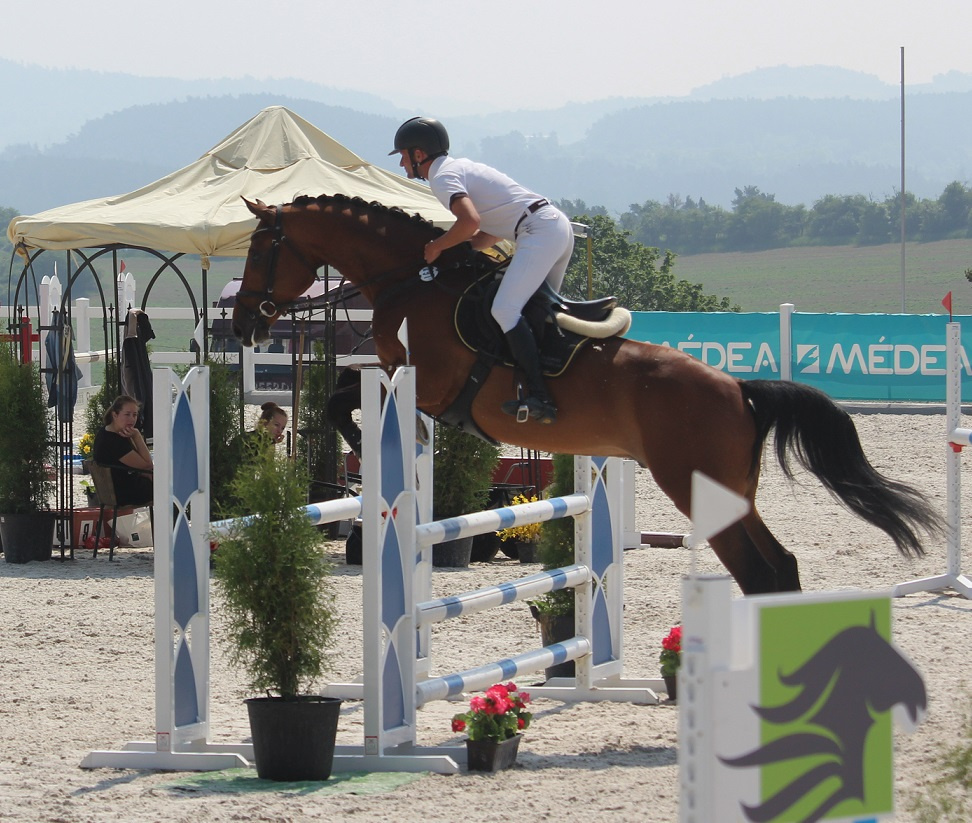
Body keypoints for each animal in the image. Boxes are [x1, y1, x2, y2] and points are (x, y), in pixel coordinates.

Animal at [232, 193, 941, 595]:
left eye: (261, 250)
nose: (242, 325)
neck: (412, 275)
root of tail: (738, 389)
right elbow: (342, 388)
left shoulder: (424, 378)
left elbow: (342, 395)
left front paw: (363, 446)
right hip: (731, 491)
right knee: (781, 567)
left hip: (694, 484)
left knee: (759, 571)